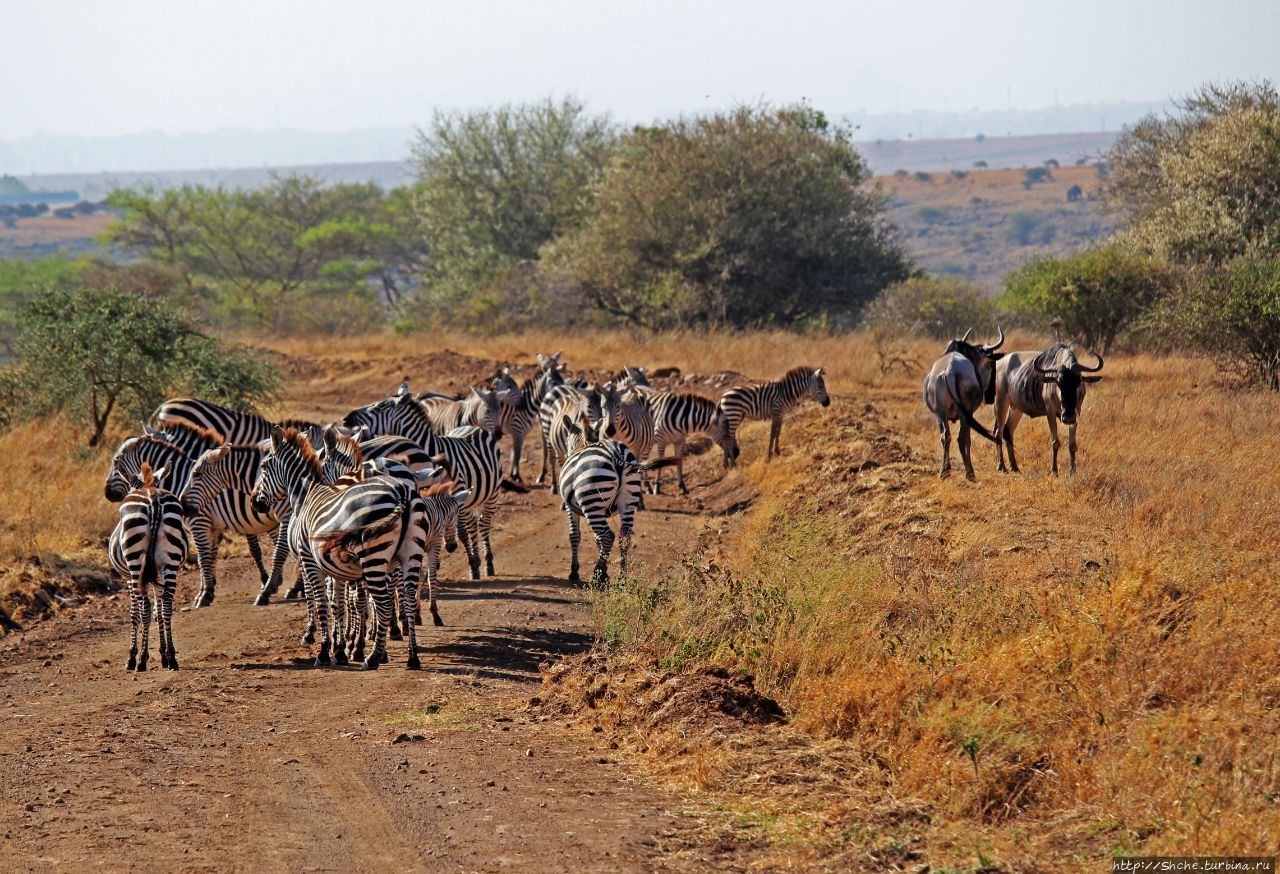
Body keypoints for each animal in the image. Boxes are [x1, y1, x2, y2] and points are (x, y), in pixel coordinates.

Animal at [107, 460, 188, 675]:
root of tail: (153, 500)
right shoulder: (157, 575)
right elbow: (159, 611)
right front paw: (164, 655)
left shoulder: (128, 578)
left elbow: (135, 613)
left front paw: (132, 656)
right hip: (170, 562)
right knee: (167, 604)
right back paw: (172, 658)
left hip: (135, 563)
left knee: (144, 607)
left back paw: (141, 660)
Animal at [248, 429, 424, 670]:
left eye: (264, 466)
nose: (254, 503)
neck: (307, 495)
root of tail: (399, 491)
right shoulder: (337, 568)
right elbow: (338, 604)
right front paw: (340, 650)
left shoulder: (308, 561)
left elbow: (321, 602)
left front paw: (324, 650)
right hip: (409, 555)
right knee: (406, 598)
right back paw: (411, 656)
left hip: (372, 557)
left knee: (383, 602)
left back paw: (372, 657)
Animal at [343, 394, 506, 580]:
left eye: (377, 408)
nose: (346, 418)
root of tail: (472, 427)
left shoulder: (456, 494)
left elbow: (459, 531)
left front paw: (471, 566)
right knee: (472, 523)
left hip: (492, 493)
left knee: (484, 523)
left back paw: (488, 562)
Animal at [558, 414, 680, 583]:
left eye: (565, 442)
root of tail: (615, 454)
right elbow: (597, 540)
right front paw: (605, 571)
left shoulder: (570, 507)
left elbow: (575, 536)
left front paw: (575, 572)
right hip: (628, 501)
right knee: (624, 536)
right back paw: (621, 577)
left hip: (592, 503)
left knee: (608, 536)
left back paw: (596, 577)